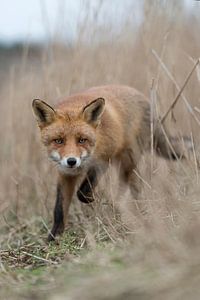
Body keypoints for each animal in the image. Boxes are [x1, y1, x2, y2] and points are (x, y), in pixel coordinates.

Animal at [32, 85, 186, 241]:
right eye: (58, 141)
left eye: (82, 140)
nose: (71, 161)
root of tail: (142, 96)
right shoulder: (65, 174)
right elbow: (59, 209)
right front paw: (54, 236)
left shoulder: (103, 160)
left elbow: (83, 191)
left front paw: (90, 199)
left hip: (128, 160)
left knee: (130, 186)